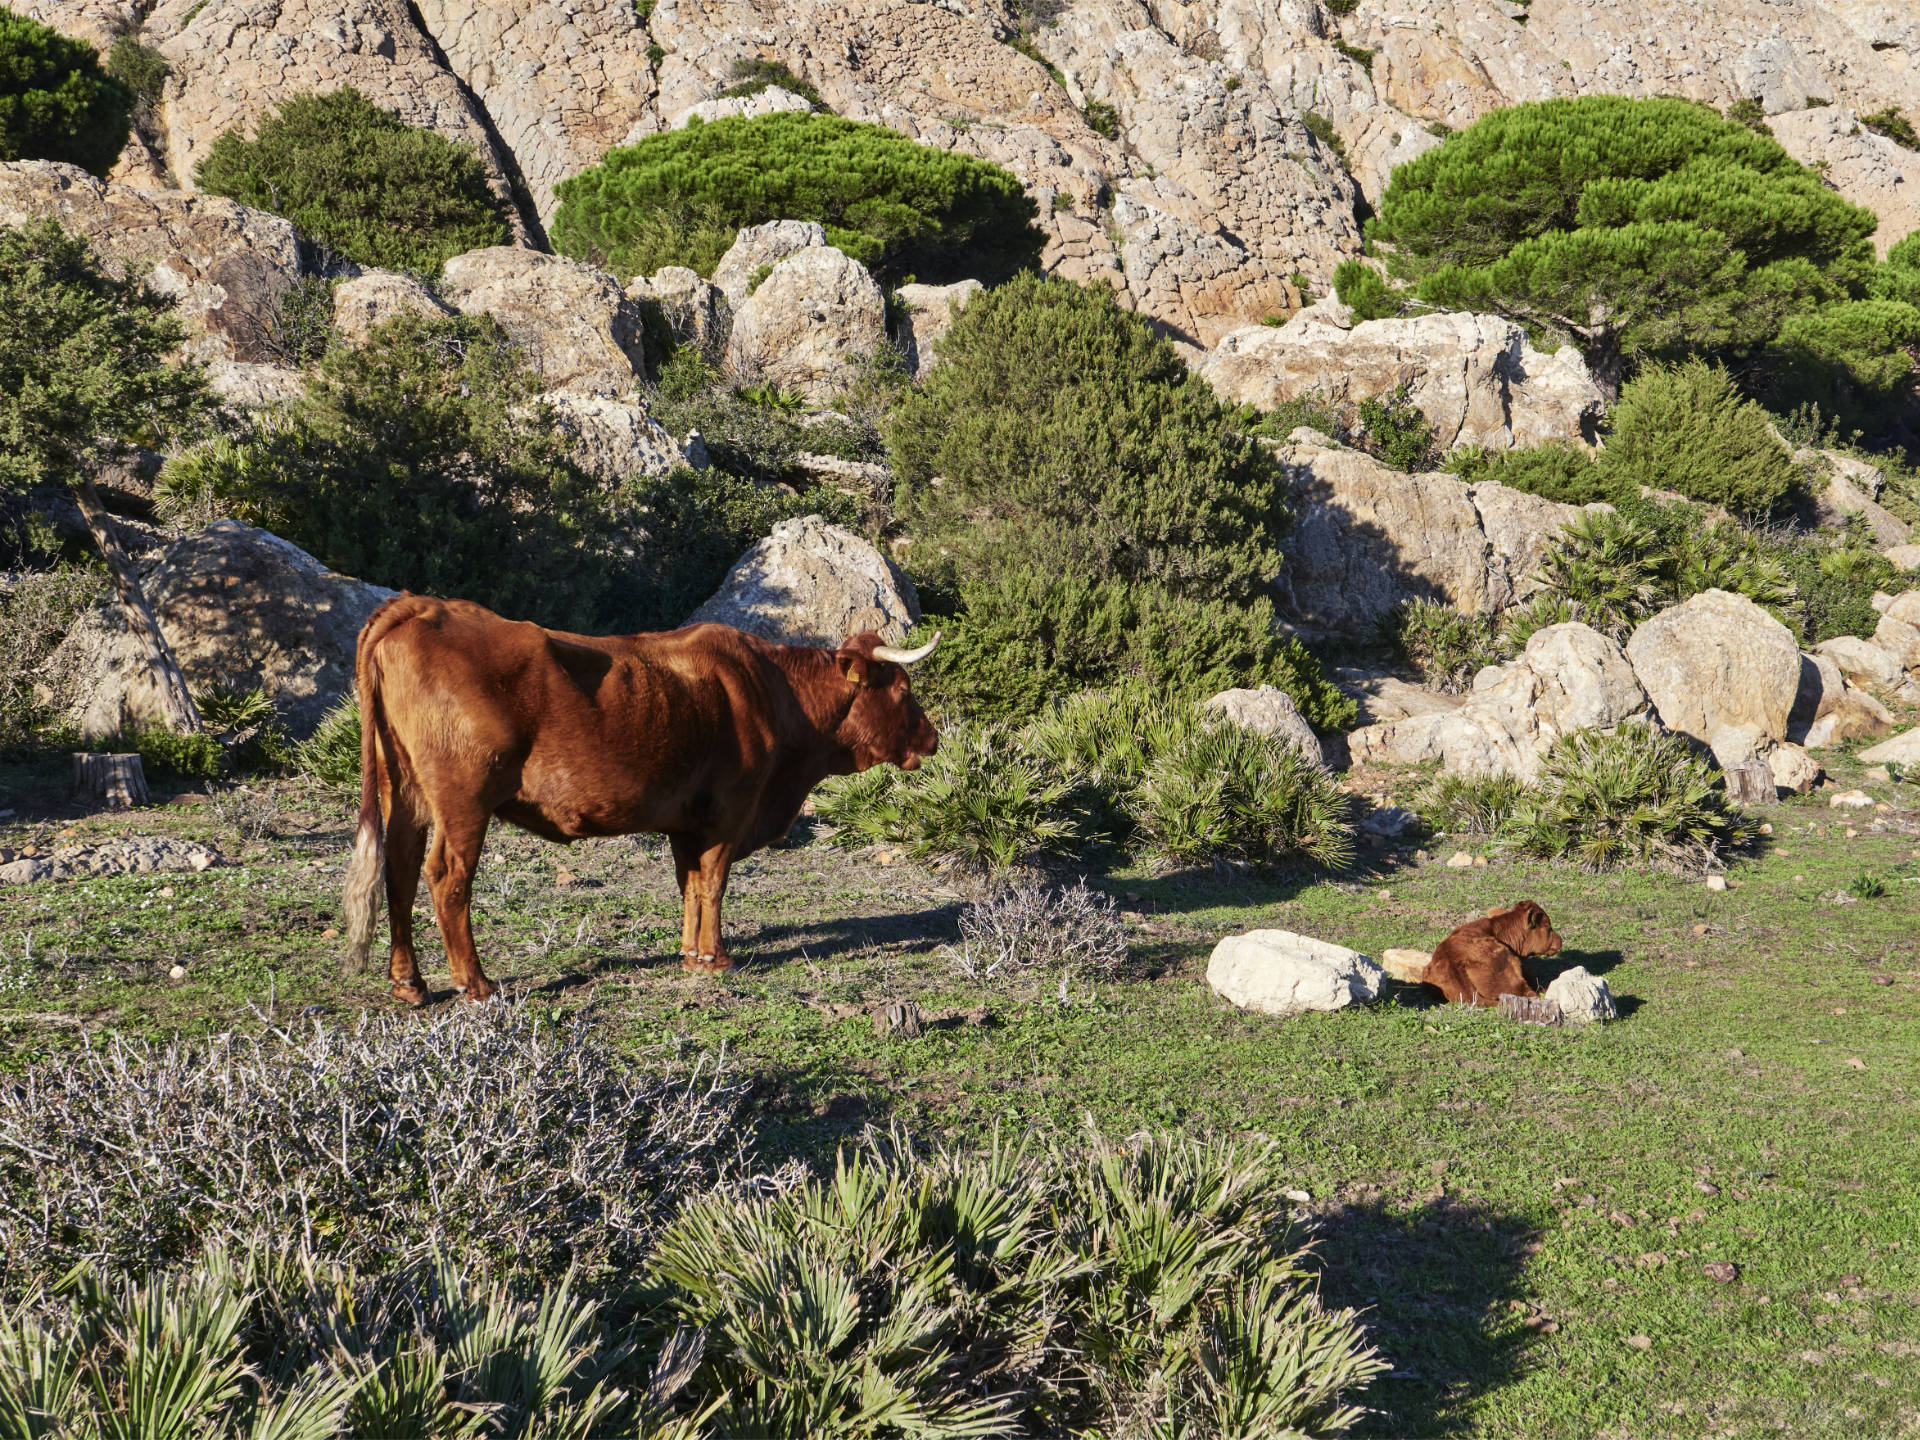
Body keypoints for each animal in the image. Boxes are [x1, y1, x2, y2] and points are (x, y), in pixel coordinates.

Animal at [349, 595, 948, 1006]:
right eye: (902, 689)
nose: (932, 737)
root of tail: (421, 606)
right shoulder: (730, 810)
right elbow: (714, 882)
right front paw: (716, 958)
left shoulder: (689, 820)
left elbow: (690, 883)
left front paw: (691, 954)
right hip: (463, 799)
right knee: (446, 876)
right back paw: (475, 983)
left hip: (404, 793)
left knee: (399, 871)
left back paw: (409, 982)